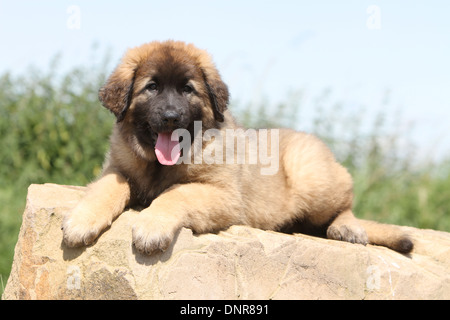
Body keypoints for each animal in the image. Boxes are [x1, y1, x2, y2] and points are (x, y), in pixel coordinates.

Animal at [61, 40, 414, 255]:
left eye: (187, 90)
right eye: (152, 87)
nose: (171, 116)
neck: (158, 165)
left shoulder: (224, 195)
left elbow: (176, 193)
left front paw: (151, 226)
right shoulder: (118, 168)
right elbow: (107, 187)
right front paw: (81, 220)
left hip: (312, 176)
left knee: (345, 206)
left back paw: (348, 228)